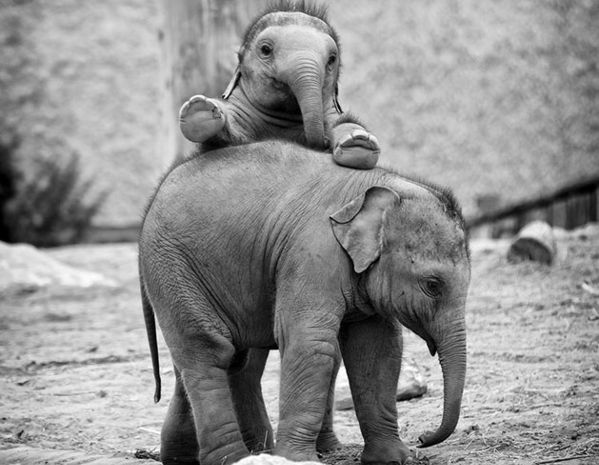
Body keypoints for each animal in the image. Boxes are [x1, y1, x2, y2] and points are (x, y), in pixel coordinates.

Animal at [138, 139, 472, 464]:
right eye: (432, 286)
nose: (423, 438)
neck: (378, 186)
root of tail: (150, 202)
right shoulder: (311, 253)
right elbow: (309, 343)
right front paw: (296, 459)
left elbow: (377, 348)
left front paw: (394, 459)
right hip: (172, 266)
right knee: (209, 351)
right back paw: (232, 458)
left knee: (217, 359)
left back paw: (183, 457)